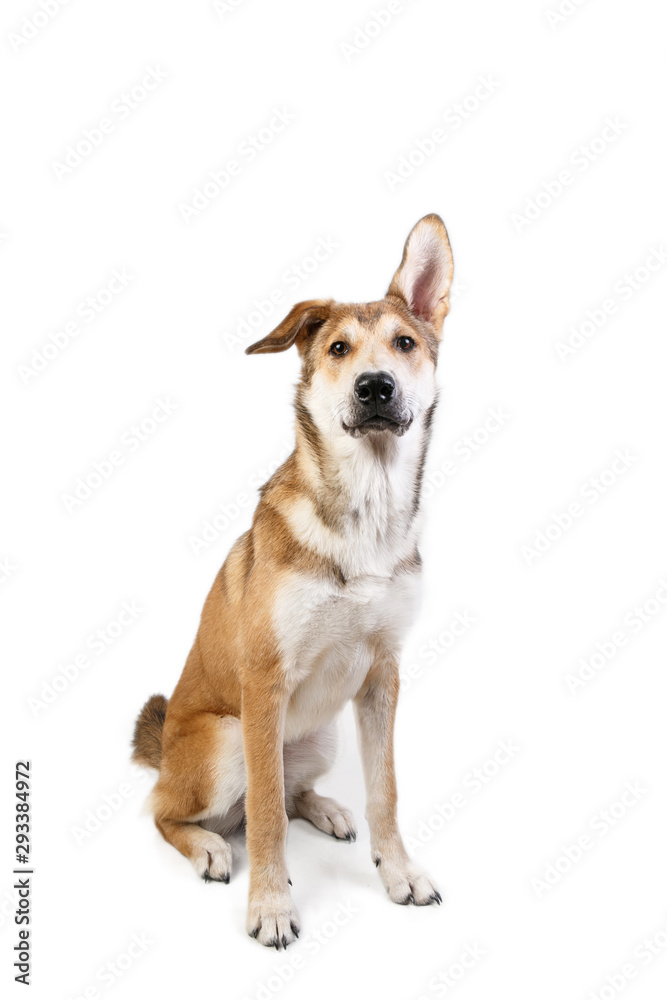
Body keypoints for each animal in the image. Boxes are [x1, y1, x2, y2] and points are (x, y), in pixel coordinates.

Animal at [132, 215, 454, 948]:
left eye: (404, 343)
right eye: (337, 348)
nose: (374, 387)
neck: (363, 513)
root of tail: (164, 751)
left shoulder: (383, 676)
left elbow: (385, 791)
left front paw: (398, 872)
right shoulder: (264, 681)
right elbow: (268, 819)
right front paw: (272, 906)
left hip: (319, 736)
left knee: (282, 791)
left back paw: (326, 810)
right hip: (227, 738)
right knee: (172, 809)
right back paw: (210, 846)